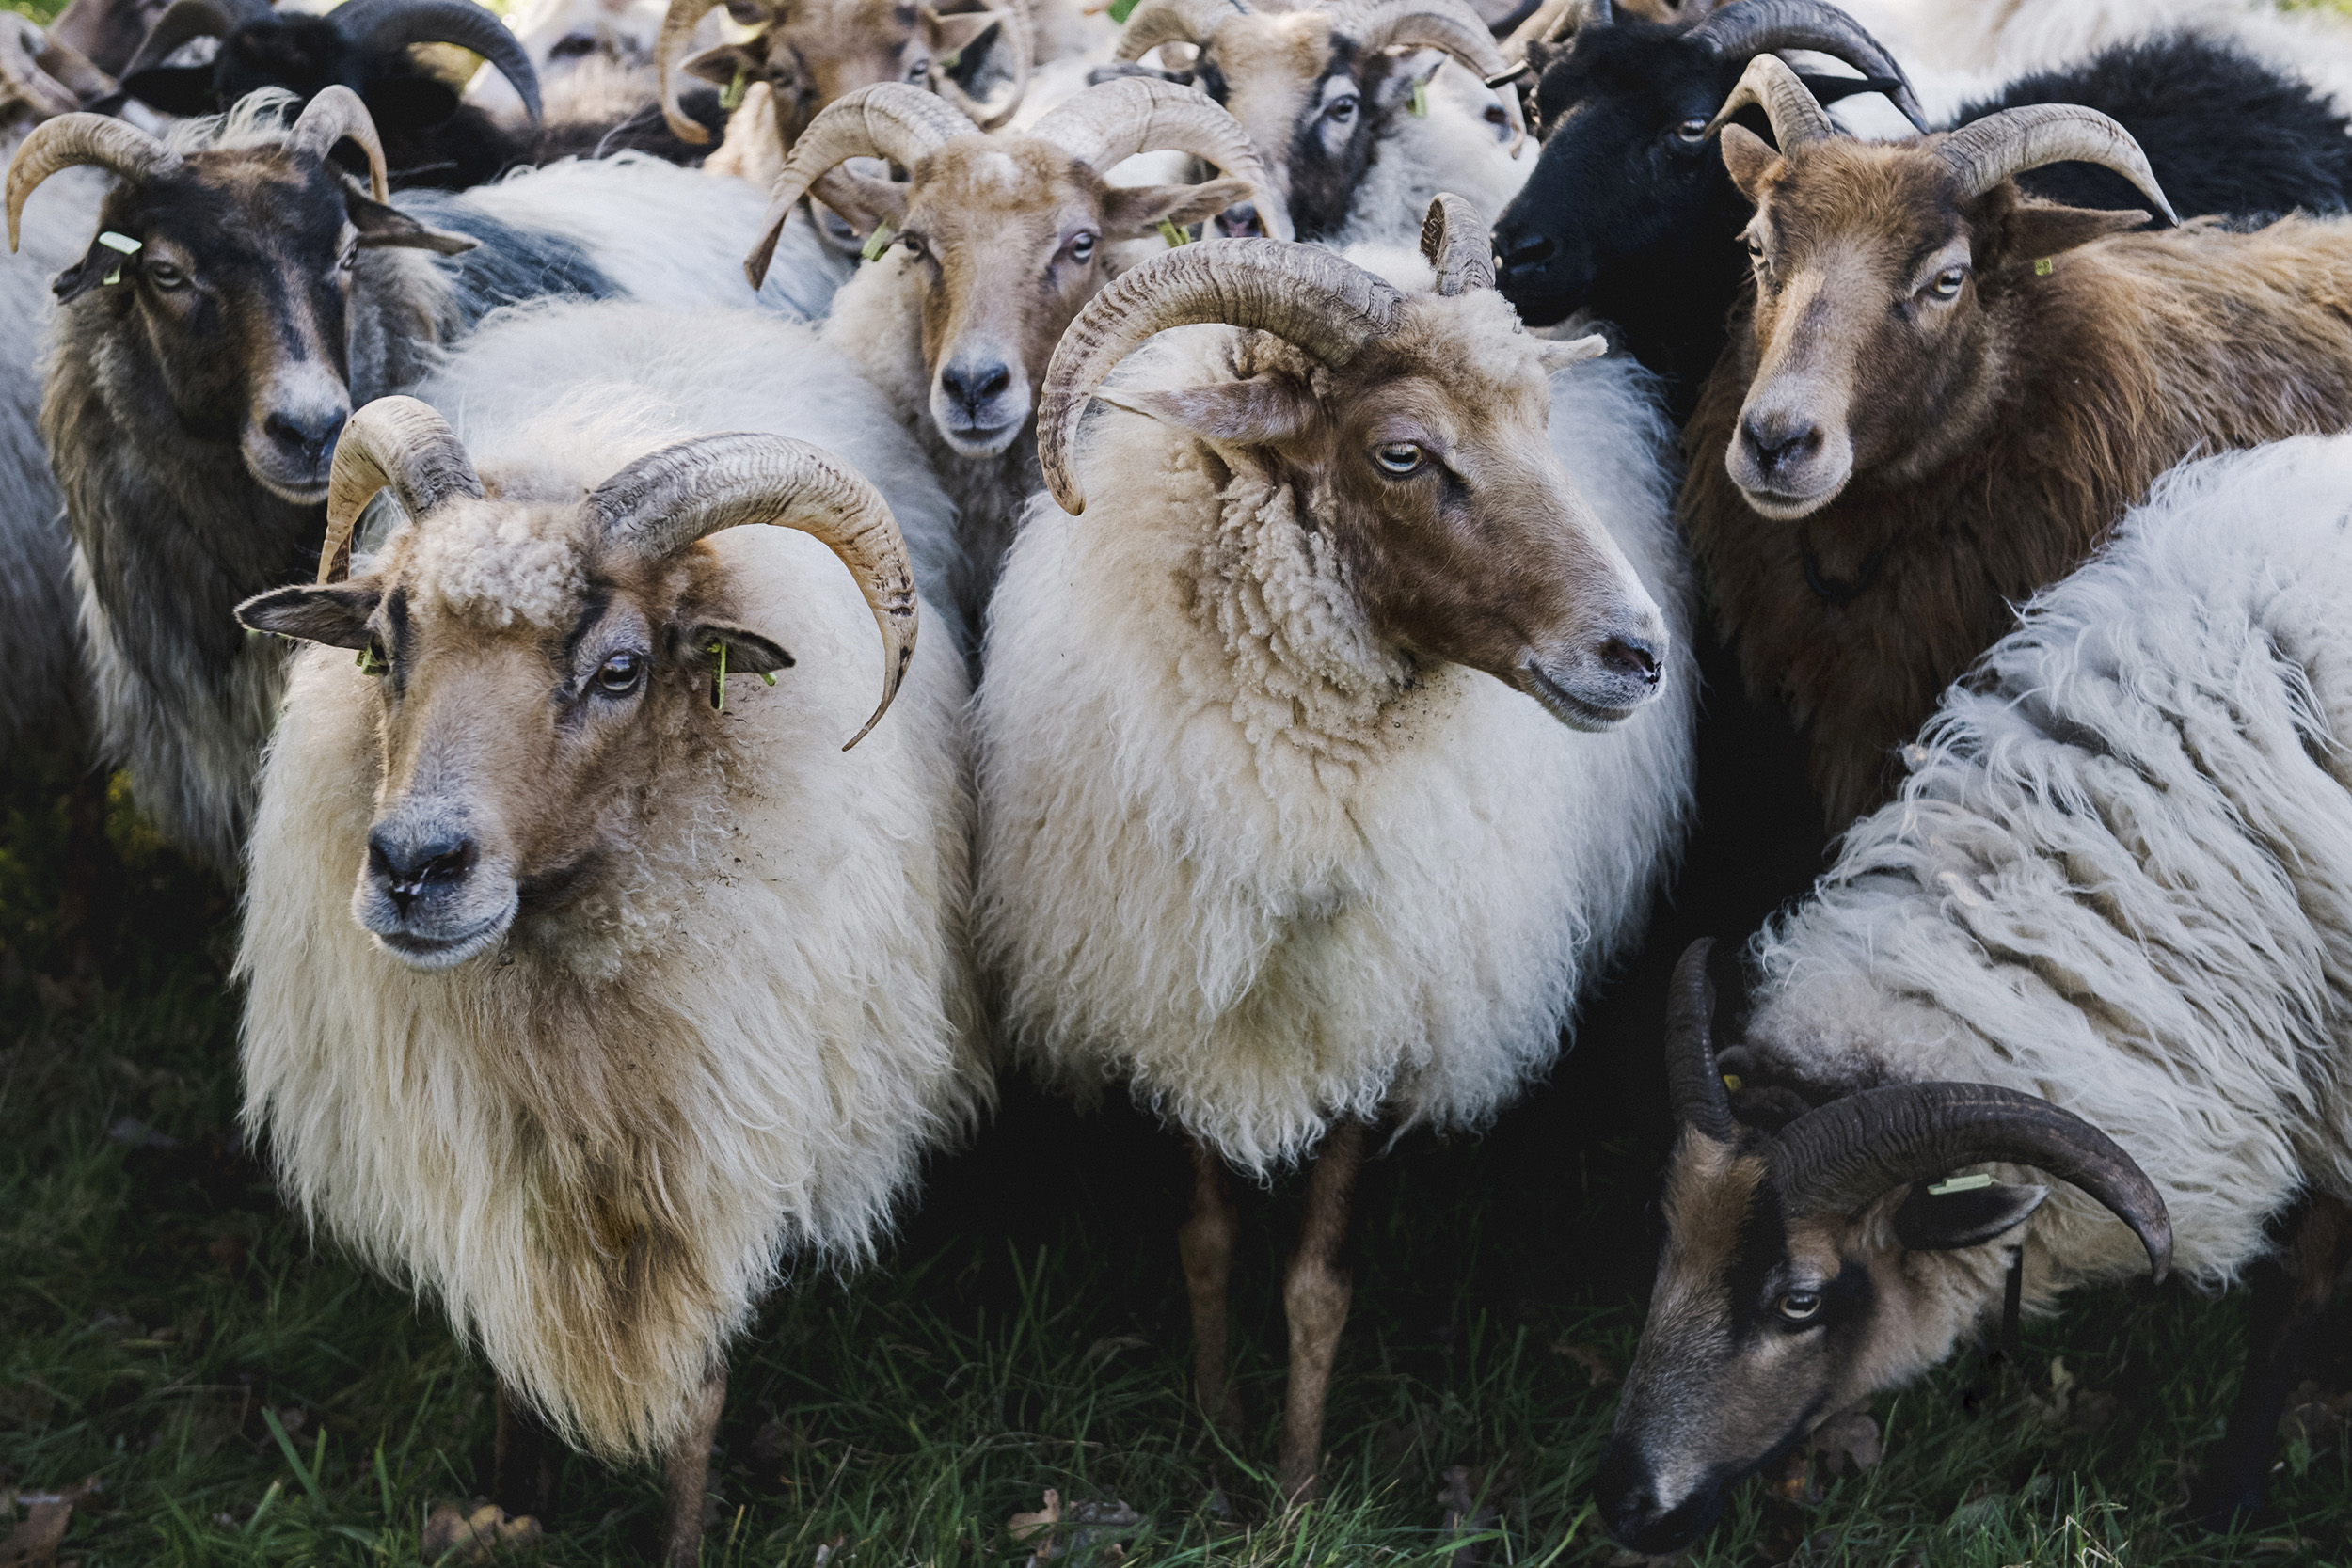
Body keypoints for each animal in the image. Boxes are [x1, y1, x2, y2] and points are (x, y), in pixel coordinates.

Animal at [232, 301, 979, 1562]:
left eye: (621, 669)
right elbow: (505, 1355)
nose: (414, 867)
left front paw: (678, 1538)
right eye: (381, 648)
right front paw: (509, 1505)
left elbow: (699, 1389)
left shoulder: (720, 1140)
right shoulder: (493, 1156)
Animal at [975, 195, 1694, 1499]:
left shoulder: (1379, 1012)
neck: (1293, 792)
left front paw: (1297, 1488)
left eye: (1540, 421)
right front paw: (1214, 1435)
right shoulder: (1178, 990)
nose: (1635, 652)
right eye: (1400, 453)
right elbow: (1206, 1238)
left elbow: (1316, 1283)